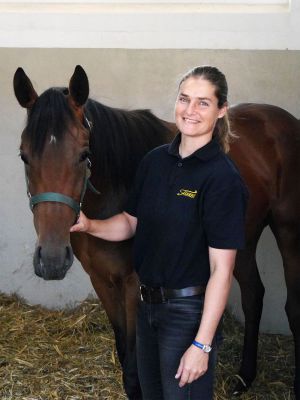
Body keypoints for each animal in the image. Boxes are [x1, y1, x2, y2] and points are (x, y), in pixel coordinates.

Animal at [13, 64, 300, 398]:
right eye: (24, 156)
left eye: (84, 154)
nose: (52, 259)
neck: (116, 187)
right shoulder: (101, 280)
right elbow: (125, 354)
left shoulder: (134, 284)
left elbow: (135, 365)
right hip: (241, 240)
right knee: (253, 295)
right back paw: (244, 378)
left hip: (288, 233)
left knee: (291, 305)